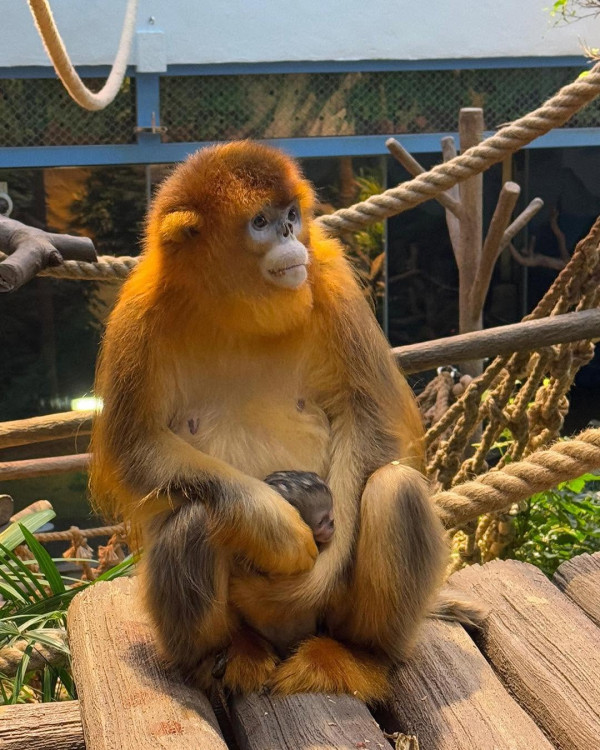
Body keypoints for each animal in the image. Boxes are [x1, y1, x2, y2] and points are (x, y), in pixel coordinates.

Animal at [91, 142, 448, 704]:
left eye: (291, 216)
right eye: (260, 222)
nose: (287, 236)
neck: (237, 308)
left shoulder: (328, 275)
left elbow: (367, 418)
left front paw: (319, 567)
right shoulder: (136, 313)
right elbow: (137, 446)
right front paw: (277, 530)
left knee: (397, 492)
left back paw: (356, 655)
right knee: (194, 518)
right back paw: (227, 655)